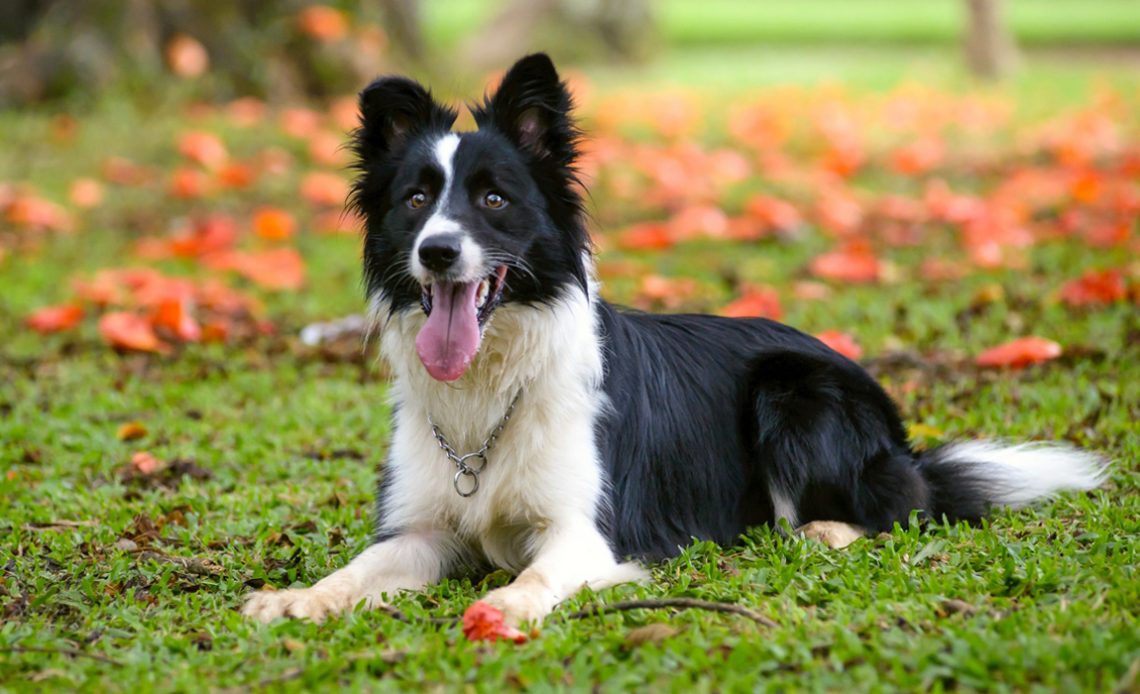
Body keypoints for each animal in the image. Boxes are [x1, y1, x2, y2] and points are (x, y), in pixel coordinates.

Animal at [242, 54, 1103, 624]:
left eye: (493, 199)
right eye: (417, 200)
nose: (439, 253)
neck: (493, 384)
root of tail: (899, 435)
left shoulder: (587, 533)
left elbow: (533, 579)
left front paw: (504, 609)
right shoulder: (422, 529)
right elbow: (359, 567)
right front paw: (296, 598)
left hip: (794, 392)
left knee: (897, 508)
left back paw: (821, 529)